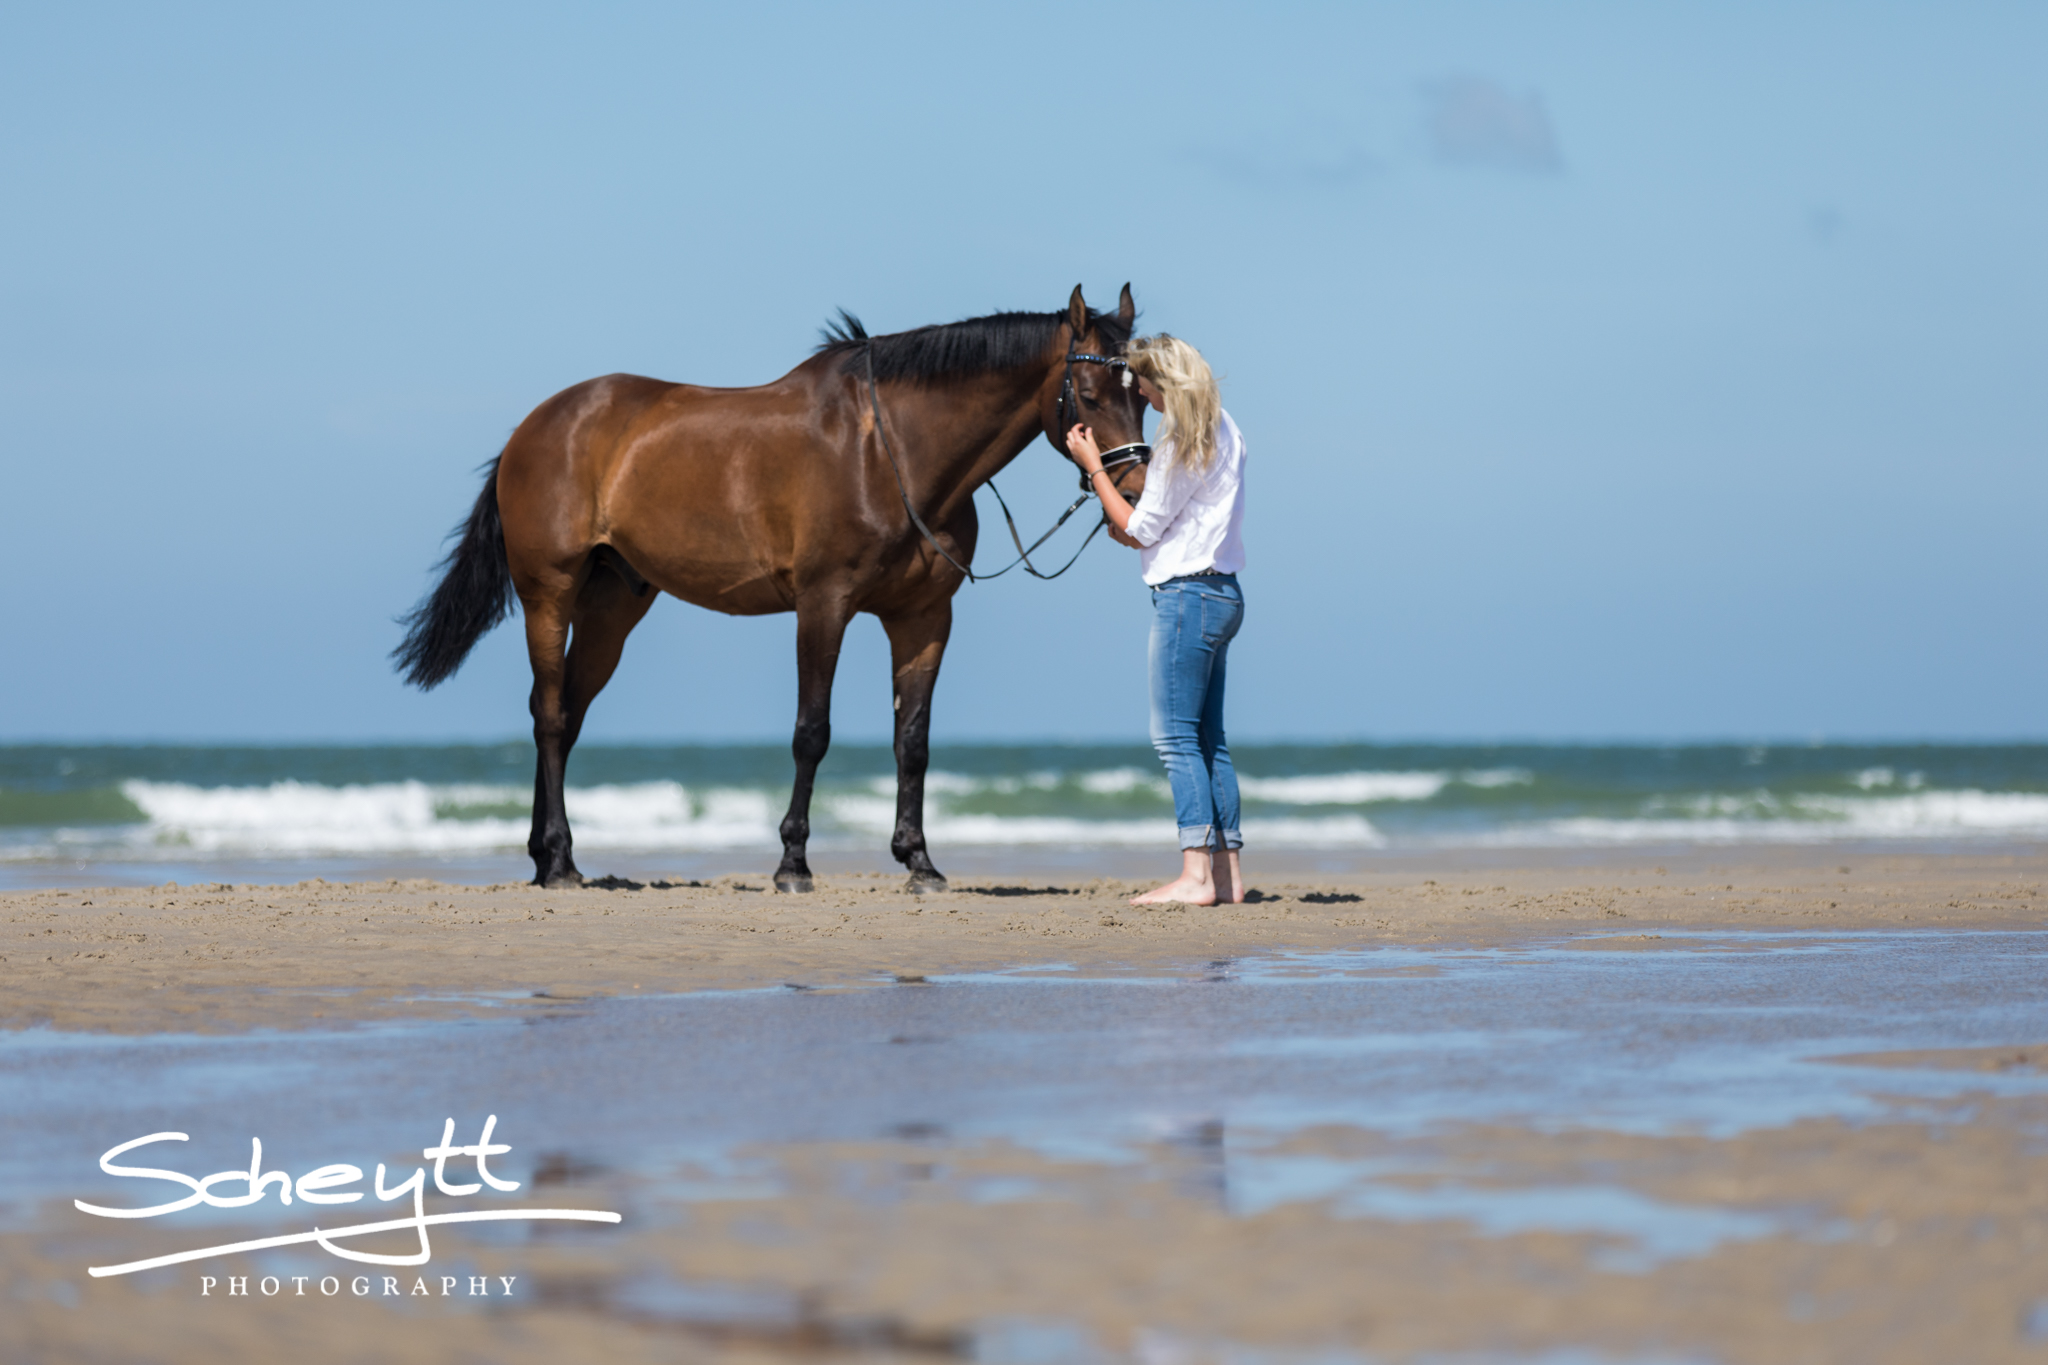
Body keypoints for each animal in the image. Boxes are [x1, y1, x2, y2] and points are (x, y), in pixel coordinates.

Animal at [393, 284, 1151, 892]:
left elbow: (913, 739)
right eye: (1088, 395)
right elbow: (811, 732)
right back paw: (558, 863)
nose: (1138, 488)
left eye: (1143, 393)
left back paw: (550, 858)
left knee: (566, 713)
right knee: (550, 716)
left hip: (612, 605)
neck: (891, 454)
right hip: (548, 595)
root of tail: (536, 426)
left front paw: (919, 862)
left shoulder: (924, 616)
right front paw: (793, 865)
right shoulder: (823, 605)